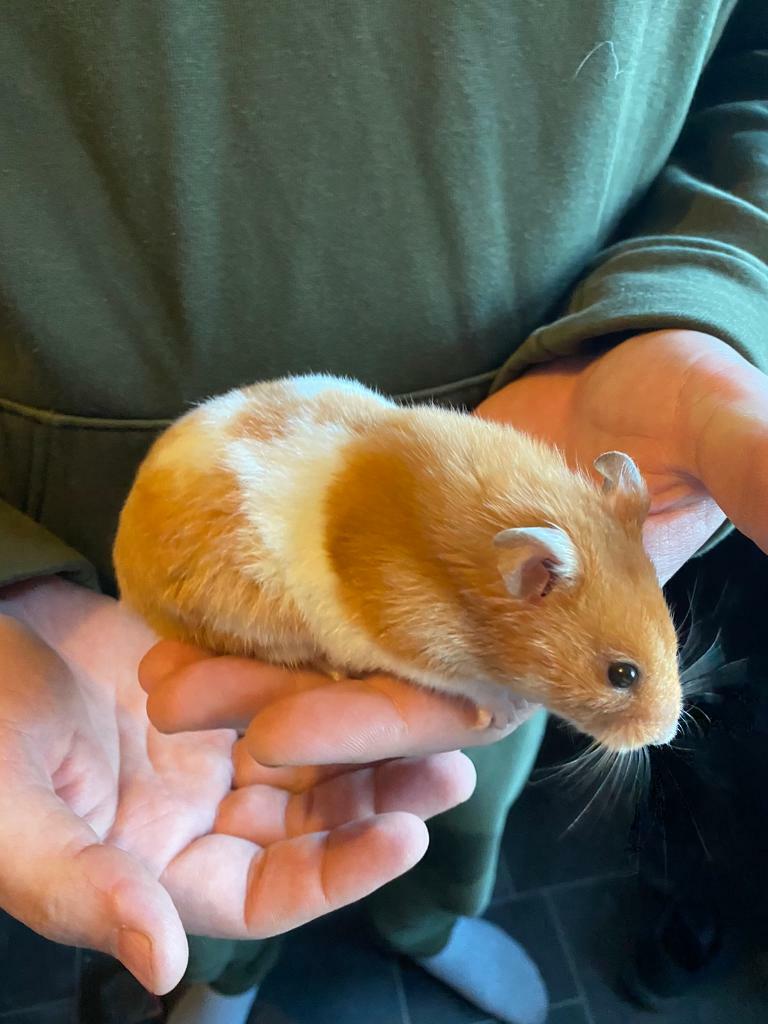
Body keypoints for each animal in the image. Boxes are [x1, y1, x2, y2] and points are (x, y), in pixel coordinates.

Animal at [113, 374, 681, 752]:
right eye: (622, 675)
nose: (664, 735)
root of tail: (123, 557)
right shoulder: (412, 636)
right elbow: (465, 683)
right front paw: (501, 711)